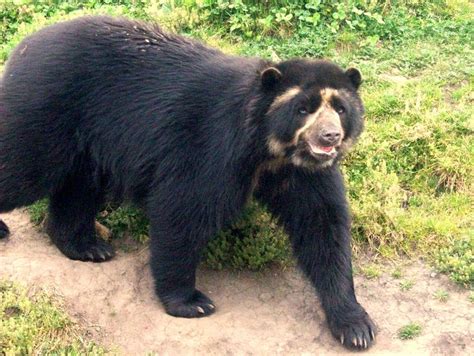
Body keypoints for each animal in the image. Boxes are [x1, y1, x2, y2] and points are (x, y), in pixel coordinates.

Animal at [0, 15, 376, 350]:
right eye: (304, 108)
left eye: (340, 108)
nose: (330, 136)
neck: (269, 149)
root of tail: (25, 44)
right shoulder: (212, 146)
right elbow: (183, 208)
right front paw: (190, 301)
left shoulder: (305, 173)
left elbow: (321, 225)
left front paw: (356, 326)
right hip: (46, 108)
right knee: (21, 165)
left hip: (86, 140)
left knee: (79, 188)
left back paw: (86, 246)